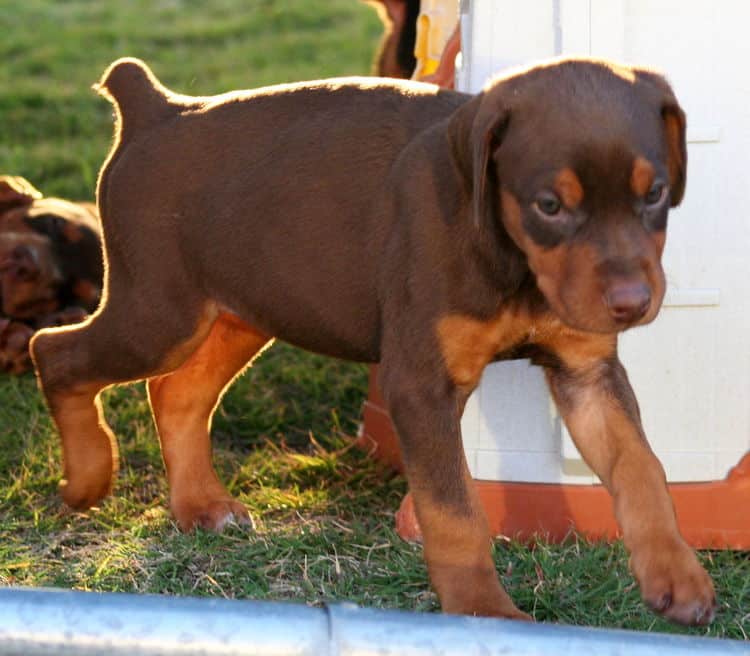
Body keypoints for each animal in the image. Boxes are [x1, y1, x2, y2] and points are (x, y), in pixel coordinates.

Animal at [32, 56, 720, 624]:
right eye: (549, 205)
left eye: (655, 193)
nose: (631, 304)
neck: (514, 261)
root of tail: (158, 108)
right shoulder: (420, 384)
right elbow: (454, 512)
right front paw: (483, 613)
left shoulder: (586, 371)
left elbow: (641, 467)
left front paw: (677, 577)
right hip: (159, 312)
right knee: (56, 351)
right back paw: (87, 480)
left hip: (246, 310)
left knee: (177, 394)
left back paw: (202, 506)